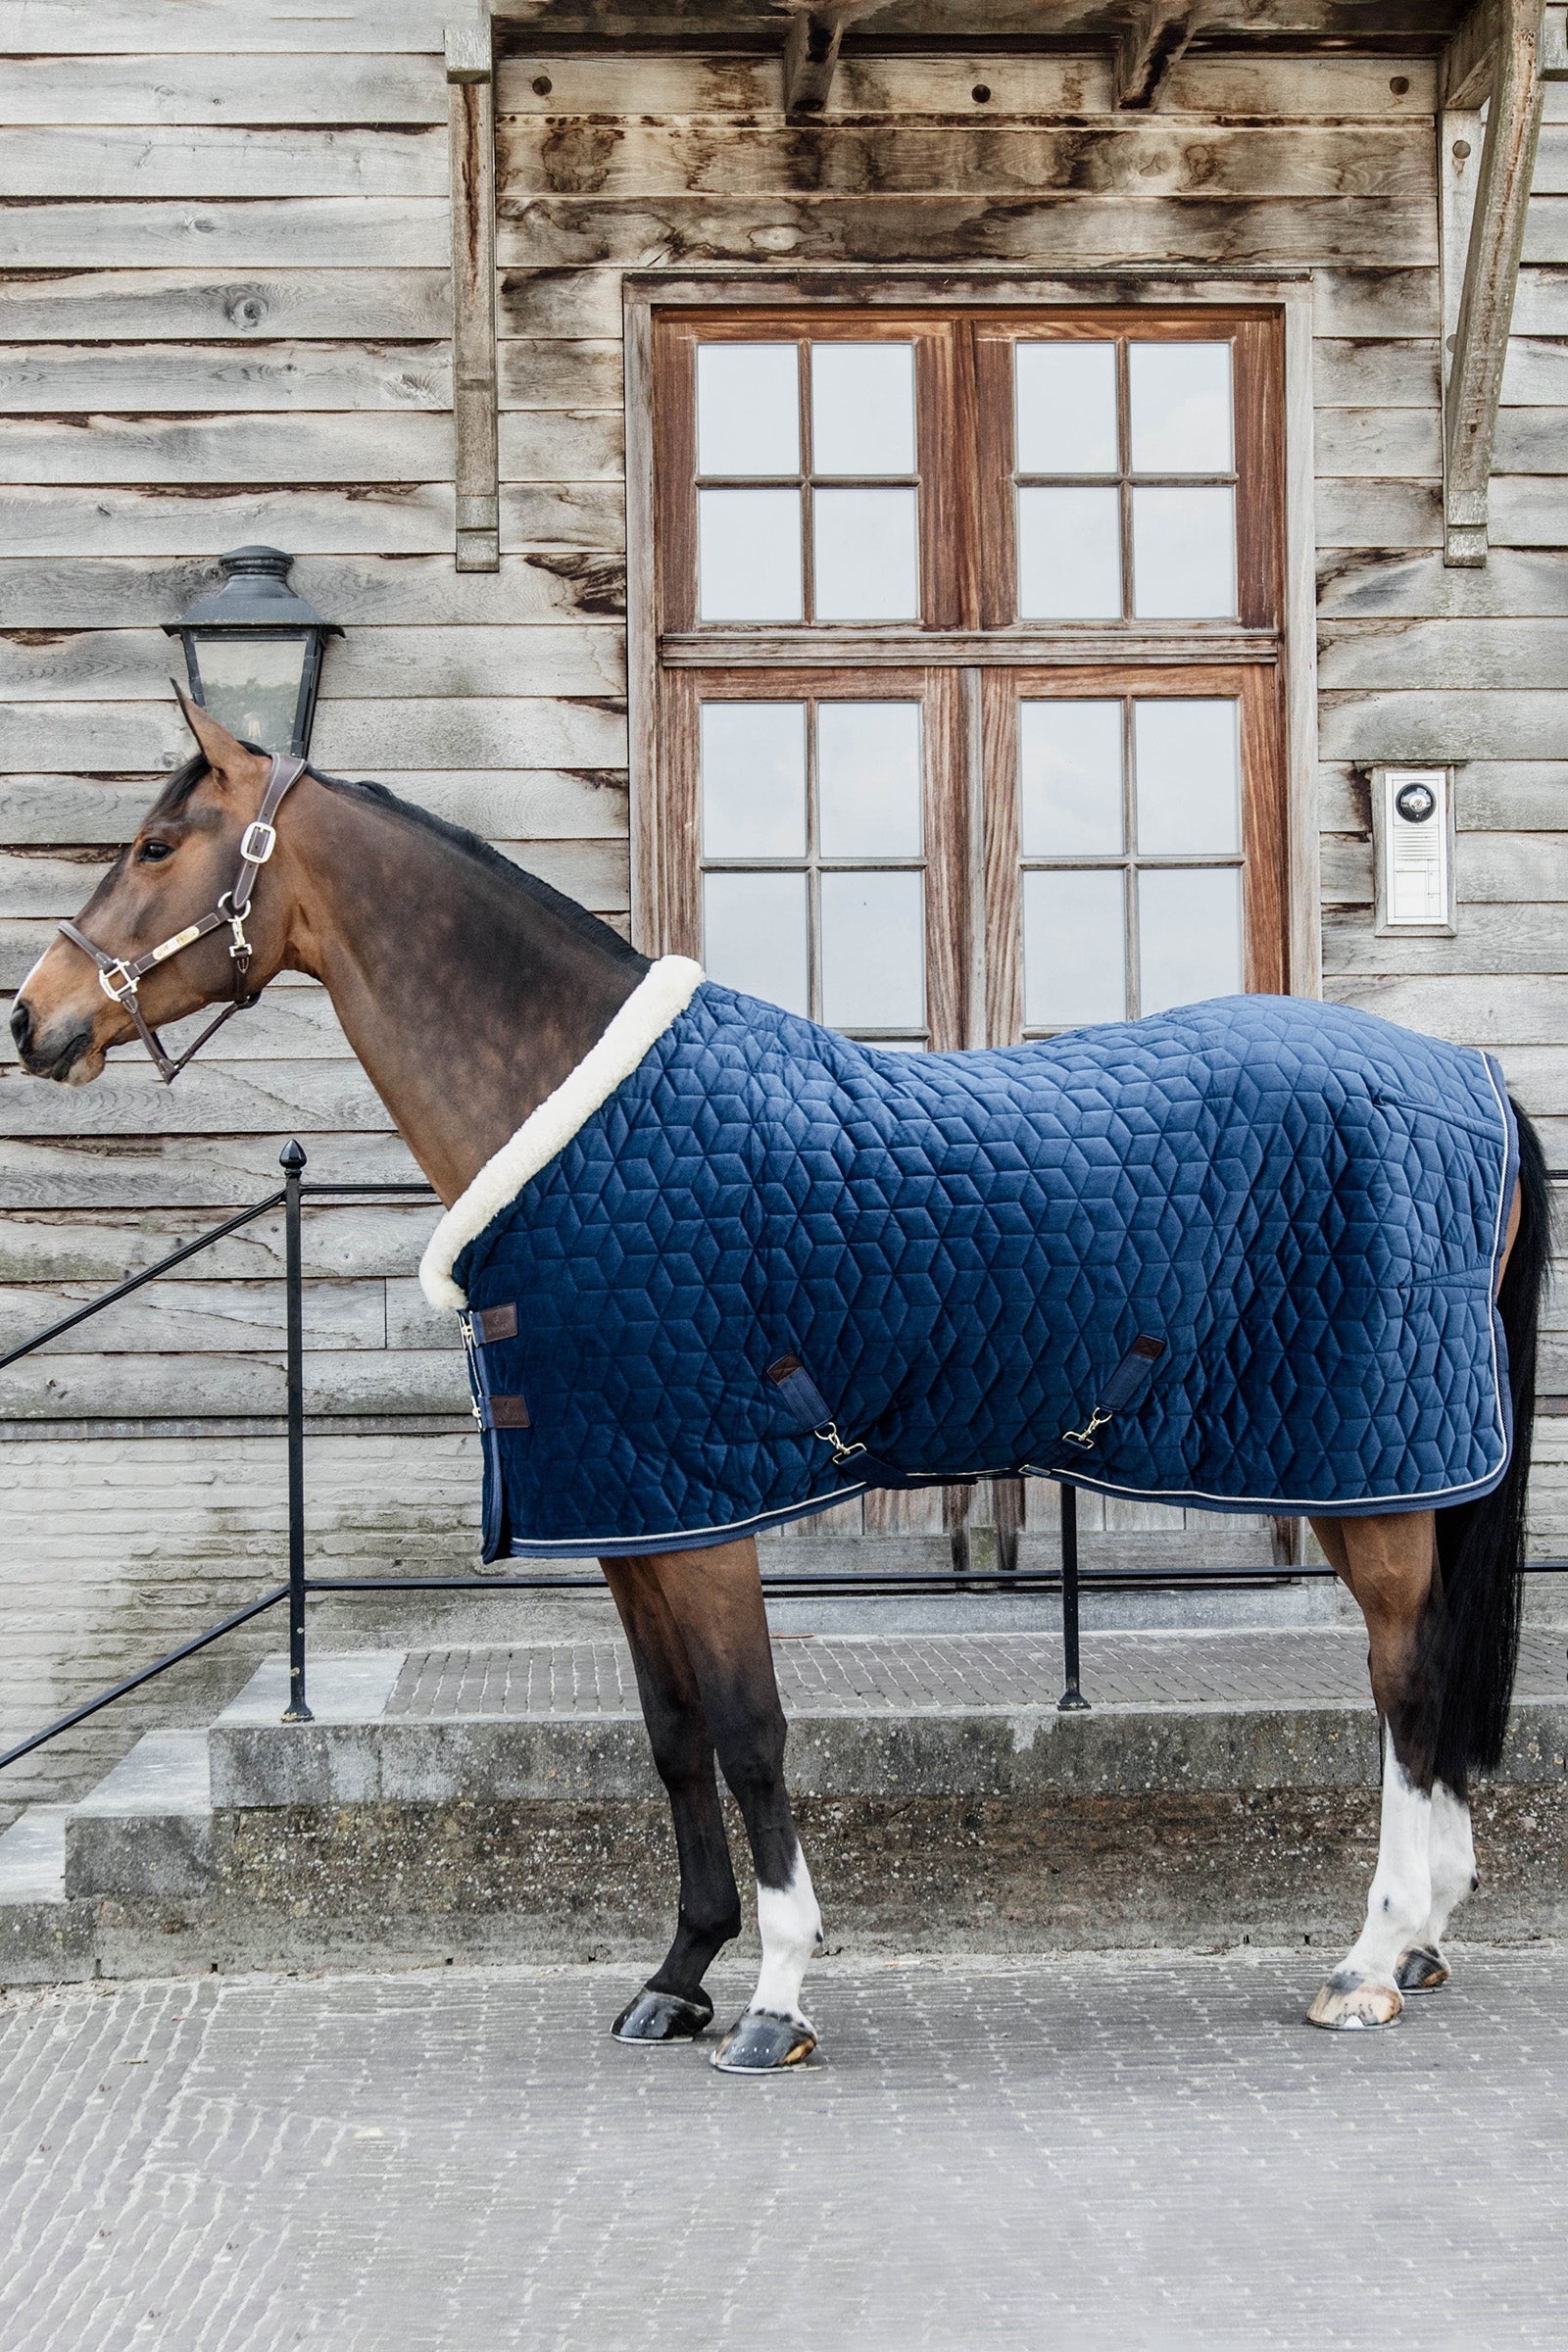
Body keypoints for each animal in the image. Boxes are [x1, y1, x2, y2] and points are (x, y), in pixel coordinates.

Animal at [10, 694, 1550, 2069]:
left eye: (156, 843)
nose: (35, 1019)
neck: (585, 1123)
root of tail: (1466, 1072)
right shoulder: (634, 1512)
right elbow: (673, 1737)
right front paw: (677, 1976)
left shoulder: (710, 1515)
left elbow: (751, 1734)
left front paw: (775, 1996)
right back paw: (1423, 1938)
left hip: (1369, 1479)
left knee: (1405, 1684)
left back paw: (1370, 1958)